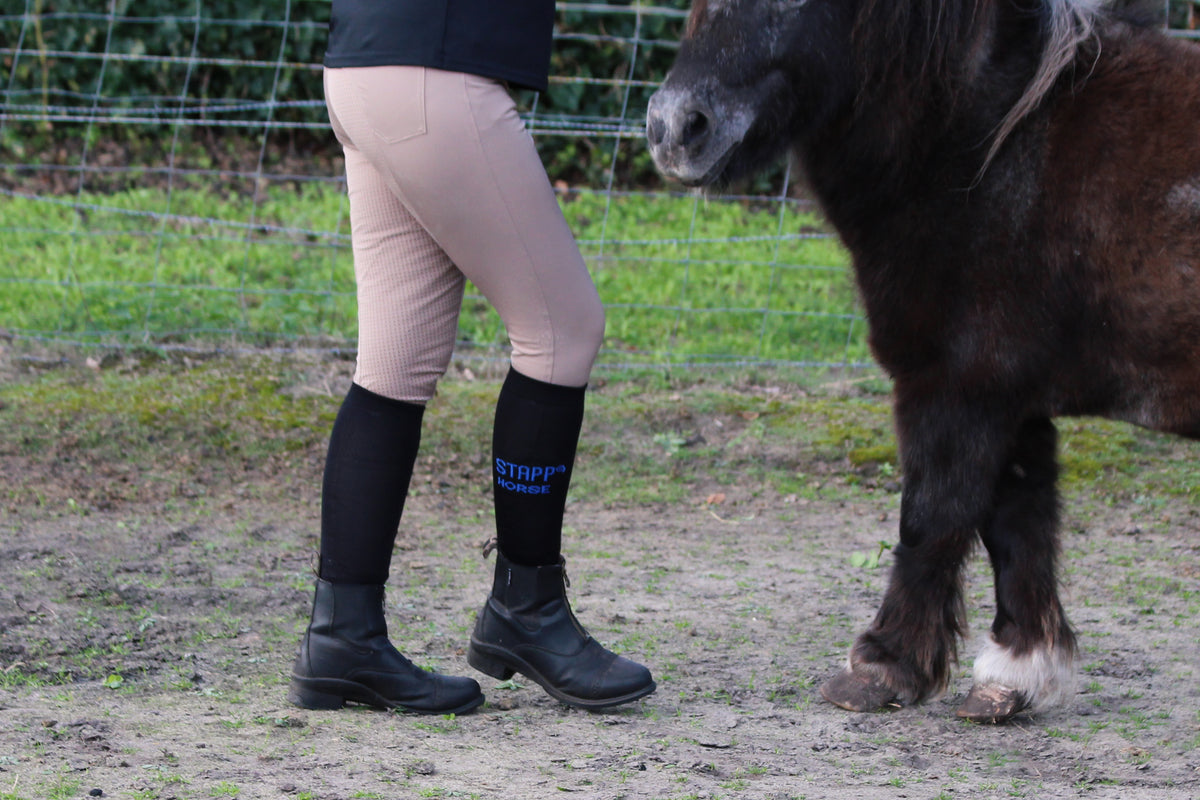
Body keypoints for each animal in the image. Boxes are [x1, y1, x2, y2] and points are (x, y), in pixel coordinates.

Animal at [646, 0, 1200, 722]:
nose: (672, 129)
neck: (991, 147)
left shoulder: (959, 388)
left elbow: (931, 517)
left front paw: (883, 667)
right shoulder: (1013, 402)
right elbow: (1017, 524)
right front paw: (1017, 674)